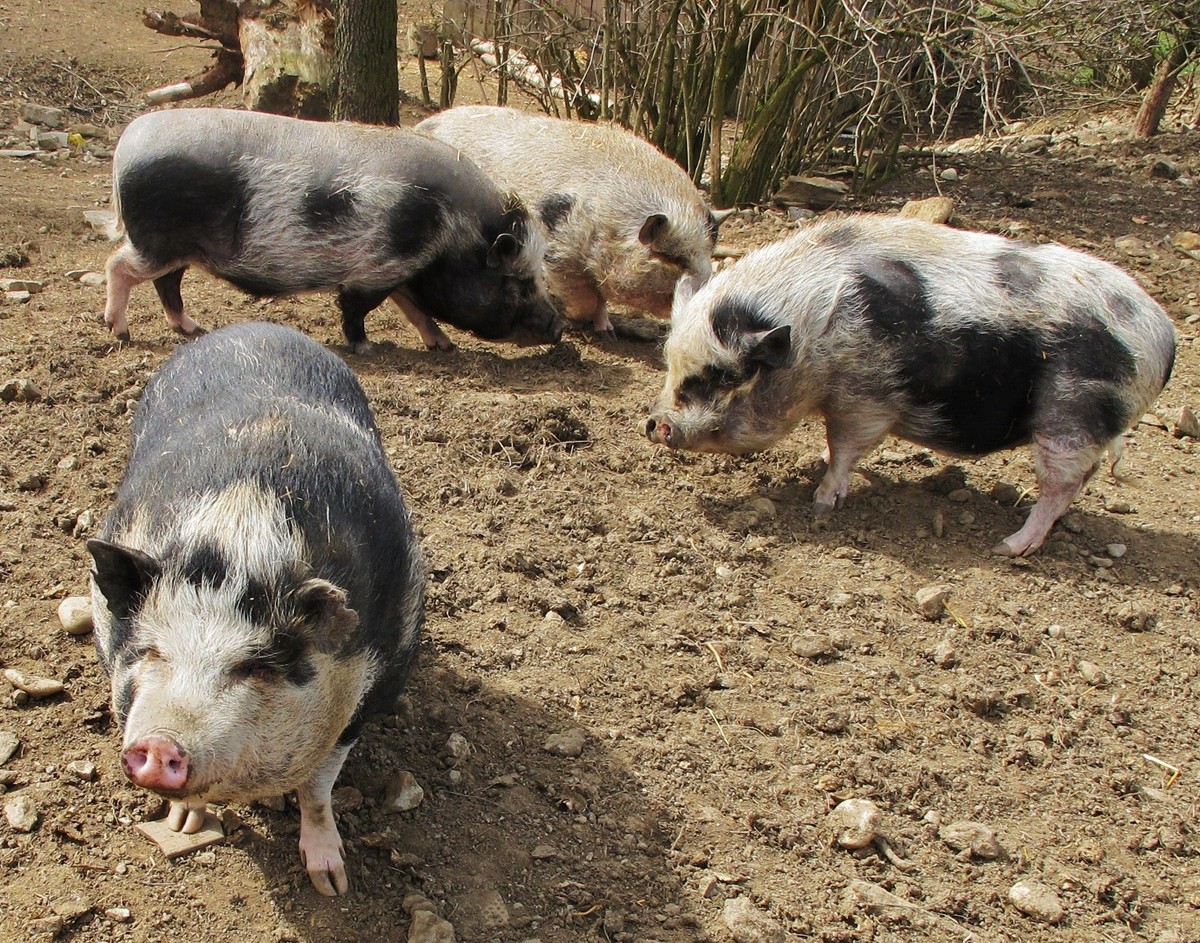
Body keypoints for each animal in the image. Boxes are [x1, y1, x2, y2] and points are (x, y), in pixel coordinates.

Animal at [85, 321, 422, 887]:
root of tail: (254, 326)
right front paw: (181, 826)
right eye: (152, 652)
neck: (242, 536)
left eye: (255, 666)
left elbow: (318, 789)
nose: (160, 744)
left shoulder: (369, 691)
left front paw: (331, 882)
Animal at [102, 103, 561, 352]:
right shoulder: (379, 266)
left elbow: (415, 308)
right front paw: (365, 347)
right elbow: (357, 307)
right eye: (518, 282)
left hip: (180, 249)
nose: (558, 328)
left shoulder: (401, 269)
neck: (451, 227)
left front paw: (444, 346)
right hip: (155, 241)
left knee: (166, 285)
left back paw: (195, 329)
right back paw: (119, 332)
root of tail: (126, 145)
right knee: (118, 265)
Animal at [417, 104, 715, 333]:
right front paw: (575, 321)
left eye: (706, 255)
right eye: (671, 256)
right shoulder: (559, 246)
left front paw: (607, 330)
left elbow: (601, 298)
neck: (611, 222)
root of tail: (424, 123)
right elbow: (581, 295)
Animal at [643, 209, 1176, 554]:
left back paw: (1009, 548)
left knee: (1059, 485)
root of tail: (1163, 336)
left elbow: (845, 447)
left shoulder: (865, 396)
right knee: (1081, 479)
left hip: (1072, 416)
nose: (654, 424)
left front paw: (821, 503)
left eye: (718, 376)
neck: (812, 333)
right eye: (669, 365)